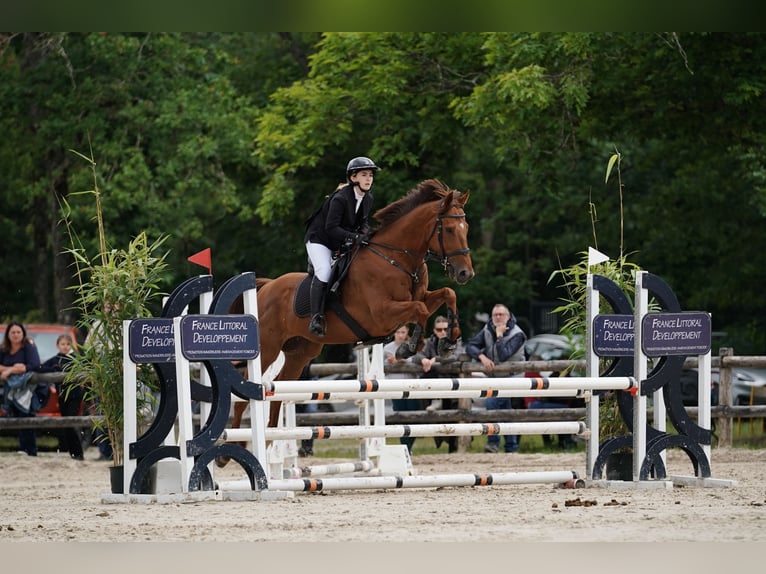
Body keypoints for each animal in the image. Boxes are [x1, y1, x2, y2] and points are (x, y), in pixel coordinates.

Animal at [220, 180, 474, 464]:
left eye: (466, 228)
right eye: (449, 229)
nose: (465, 273)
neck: (397, 259)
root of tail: (265, 288)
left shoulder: (419, 299)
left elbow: (447, 295)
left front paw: (449, 341)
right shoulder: (382, 314)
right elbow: (419, 310)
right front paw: (409, 346)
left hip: (301, 352)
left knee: (278, 390)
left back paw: (270, 440)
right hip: (268, 348)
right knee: (245, 392)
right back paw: (231, 451)